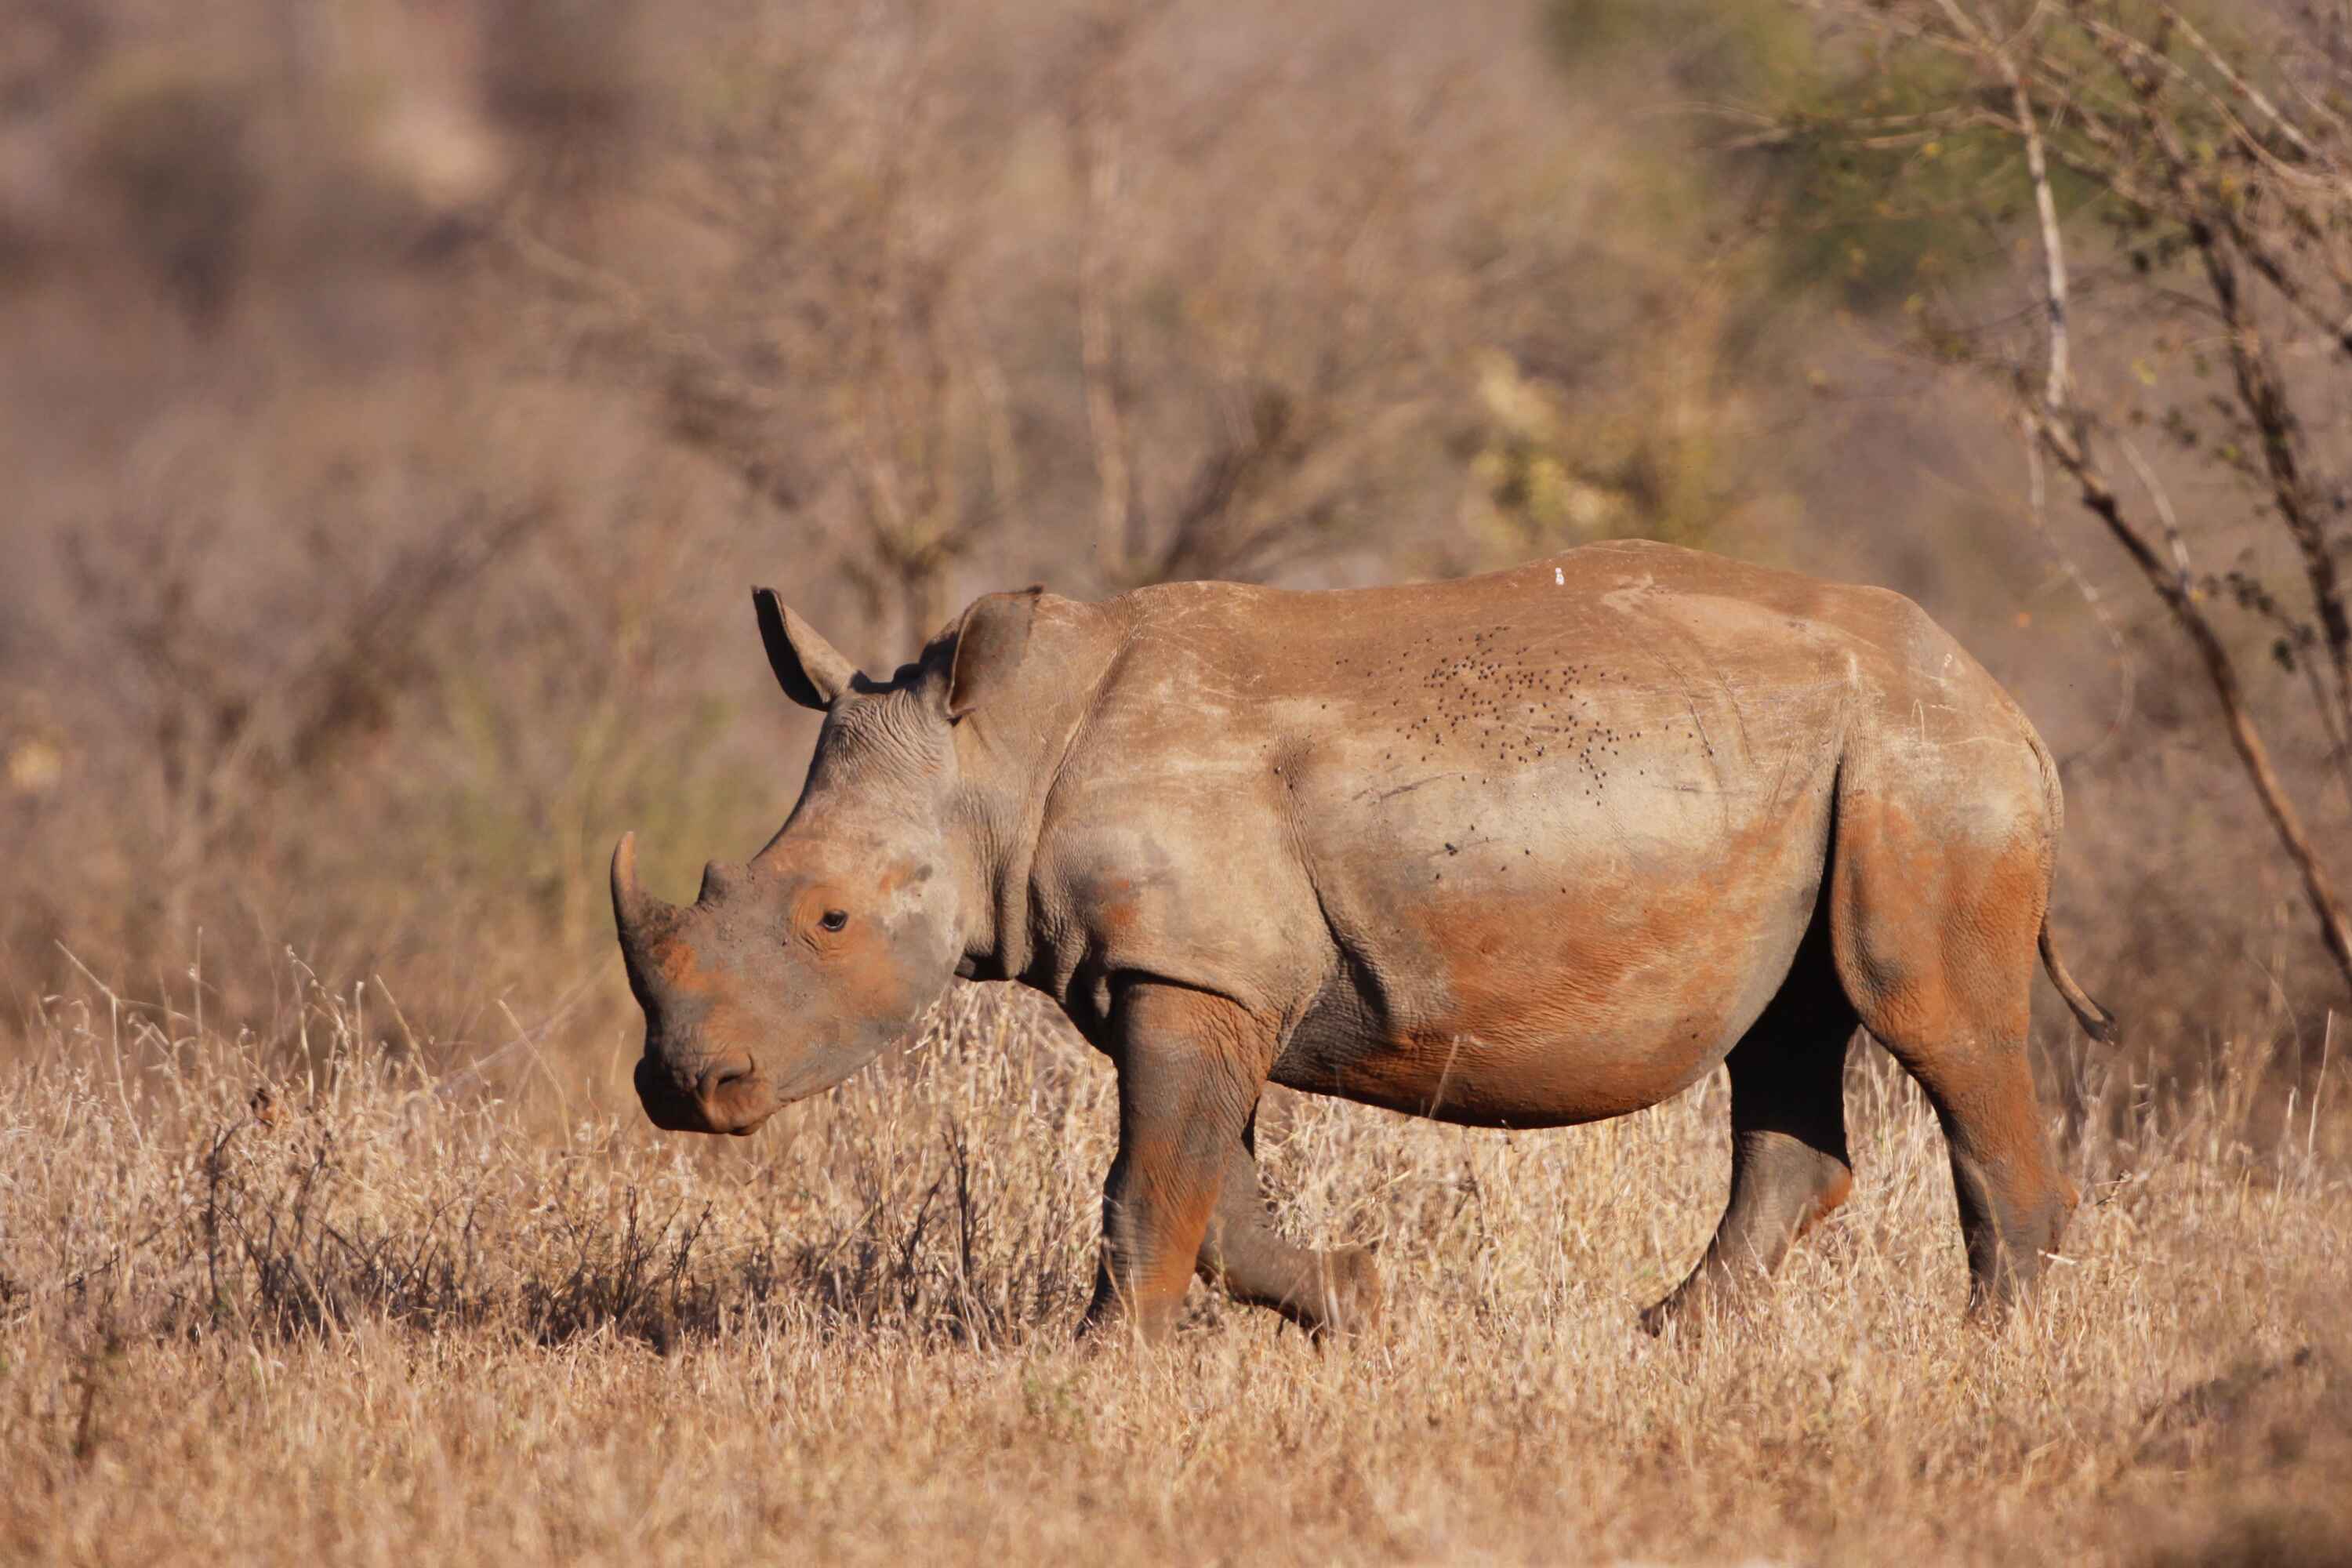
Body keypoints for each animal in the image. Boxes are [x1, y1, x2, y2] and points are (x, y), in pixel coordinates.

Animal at [611, 541, 2114, 1339]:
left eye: (829, 920)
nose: (683, 1091)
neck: (1004, 753)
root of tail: (2010, 705)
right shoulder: (1201, 973)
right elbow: (1214, 1194)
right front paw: (1362, 1302)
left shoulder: (1191, 973)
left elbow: (1150, 1188)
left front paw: (1091, 1369)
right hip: (1833, 765)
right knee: (1794, 1033)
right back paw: (1666, 1338)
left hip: (1926, 769)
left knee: (1933, 1020)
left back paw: (1989, 1351)